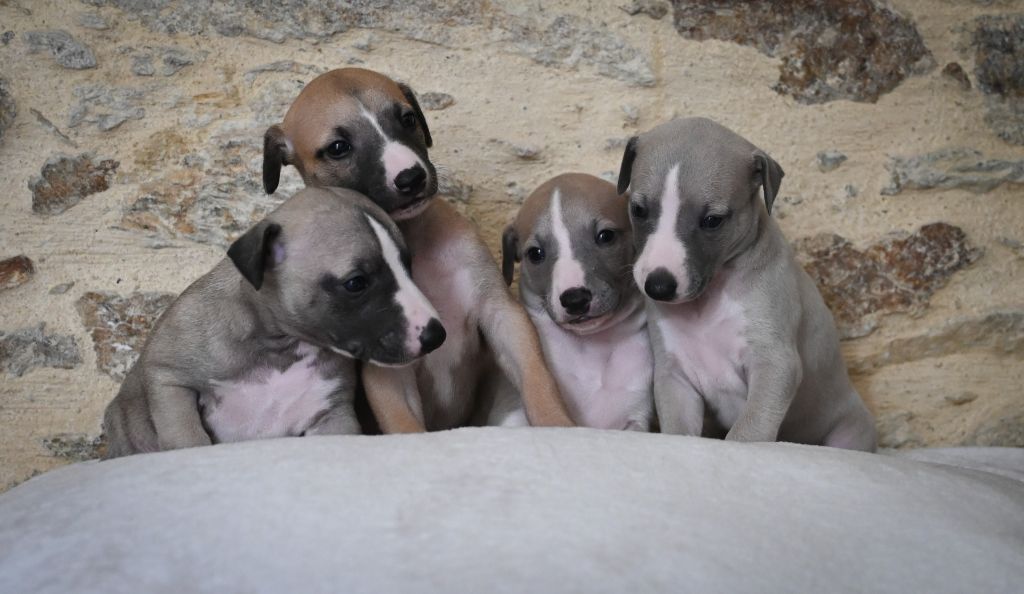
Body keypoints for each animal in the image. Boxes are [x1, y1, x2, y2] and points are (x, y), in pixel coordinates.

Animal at [260, 68, 573, 432]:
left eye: (407, 118)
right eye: (338, 147)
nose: (410, 177)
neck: (415, 242)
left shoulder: (500, 312)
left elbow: (536, 377)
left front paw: (558, 424)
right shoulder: (390, 363)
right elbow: (403, 424)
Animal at [618, 116, 876, 450]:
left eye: (712, 220)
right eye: (638, 209)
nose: (658, 286)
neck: (706, 303)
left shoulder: (774, 363)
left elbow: (748, 432)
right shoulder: (674, 375)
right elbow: (677, 430)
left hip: (848, 431)